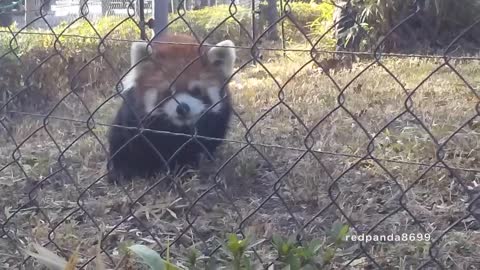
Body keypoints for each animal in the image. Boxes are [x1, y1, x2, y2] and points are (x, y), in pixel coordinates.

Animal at [108, 32, 237, 182]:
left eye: (196, 91)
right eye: (167, 93)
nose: (182, 108)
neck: (177, 130)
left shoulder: (216, 121)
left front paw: (184, 170)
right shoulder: (134, 117)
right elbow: (130, 143)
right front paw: (126, 170)